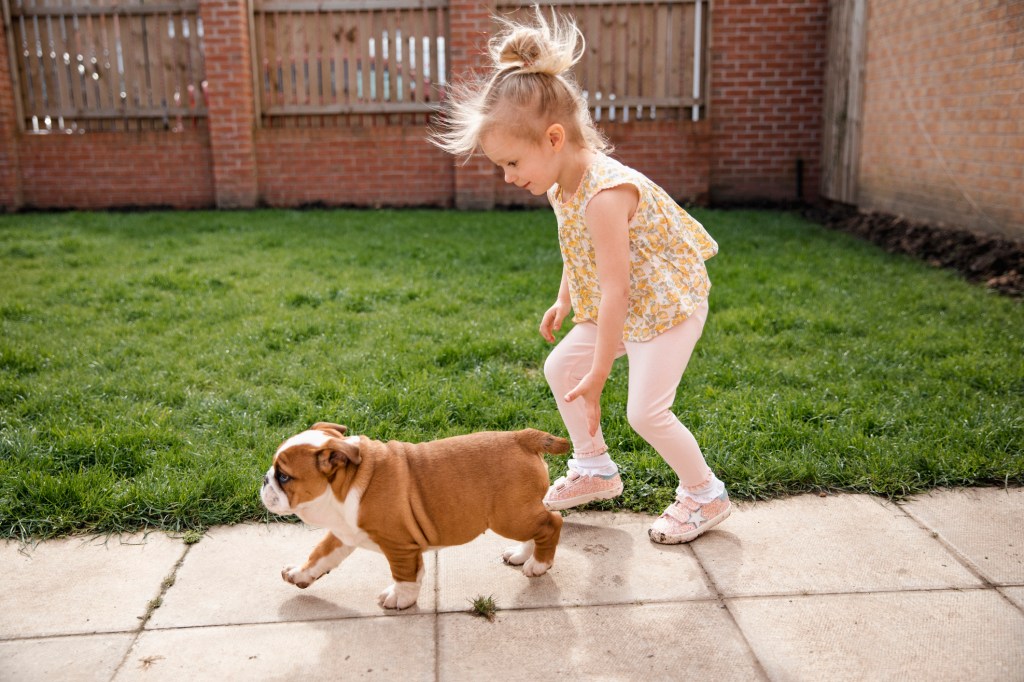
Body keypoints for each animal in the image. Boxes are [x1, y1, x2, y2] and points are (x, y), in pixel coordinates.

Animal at [260, 421, 573, 606]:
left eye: (284, 477)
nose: (264, 479)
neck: (346, 483)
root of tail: (522, 437)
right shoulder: (343, 533)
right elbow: (320, 555)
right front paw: (300, 573)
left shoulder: (398, 545)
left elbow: (403, 573)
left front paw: (400, 597)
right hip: (520, 513)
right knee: (538, 527)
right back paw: (522, 555)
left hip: (508, 516)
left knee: (552, 522)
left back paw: (539, 564)